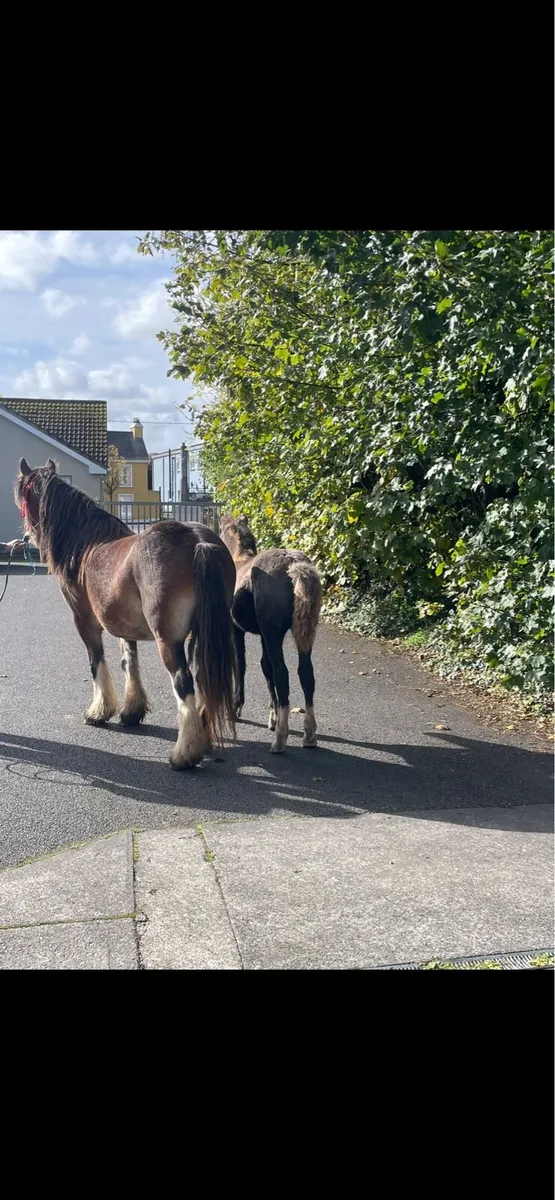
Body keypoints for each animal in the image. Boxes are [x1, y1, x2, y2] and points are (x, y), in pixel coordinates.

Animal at [14, 458, 236, 769]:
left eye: (22, 493)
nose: (26, 536)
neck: (86, 545)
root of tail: (198, 541)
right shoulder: (124, 625)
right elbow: (129, 661)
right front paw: (132, 712)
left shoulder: (84, 621)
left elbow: (97, 662)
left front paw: (99, 712)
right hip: (203, 635)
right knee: (204, 679)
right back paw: (202, 740)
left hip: (168, 642)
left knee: (184, 684)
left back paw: (183, 754)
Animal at [219, 515, 322, 753]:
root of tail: (293, 563)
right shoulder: (263, 636)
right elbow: (265, 667)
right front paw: (272, 716)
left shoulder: (237, 631)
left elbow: (241, 664)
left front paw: (236, 709)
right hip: (302, 635)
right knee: (306, 674)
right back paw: (309, 735)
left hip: (274, 635)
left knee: (282, 673)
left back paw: (280, 739)